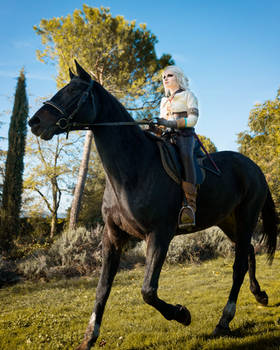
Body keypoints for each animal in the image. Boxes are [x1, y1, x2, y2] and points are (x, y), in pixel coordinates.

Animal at [27, 61, 278, 348]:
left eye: (72, 91)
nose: (34, 122)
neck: (134, 170)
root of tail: (254, 167)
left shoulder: (159, 235)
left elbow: (148, 290)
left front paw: (182, 314)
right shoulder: (112, 236)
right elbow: (102, 288)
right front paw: (89, 338)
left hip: (247, 217)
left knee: (238, 266)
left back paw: (224, 321)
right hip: (227, 221)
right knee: (248, 252)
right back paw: (259, 295)